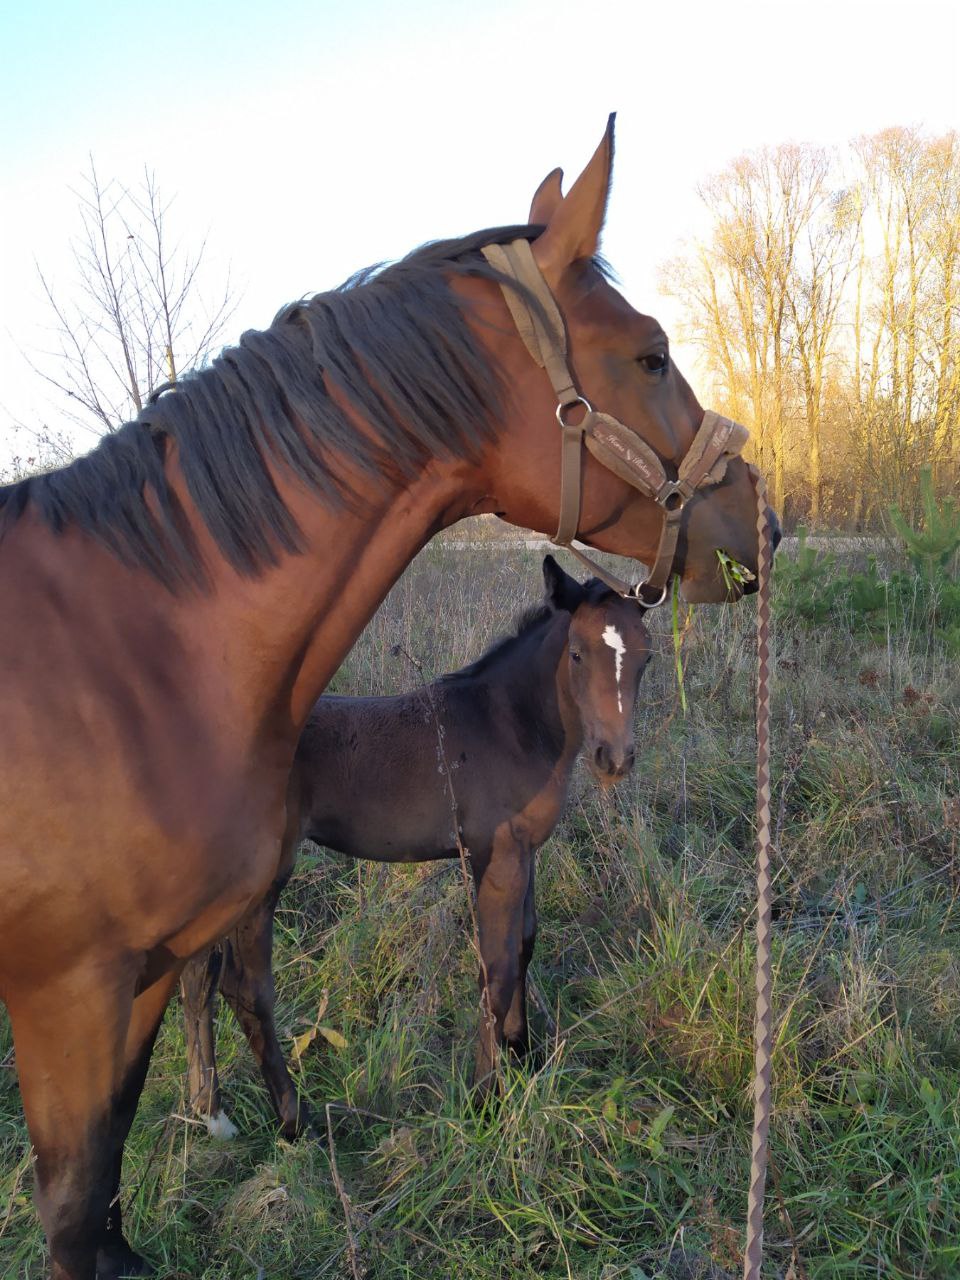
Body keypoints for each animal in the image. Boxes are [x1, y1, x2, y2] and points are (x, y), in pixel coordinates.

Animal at [180, 555, 655, 1136]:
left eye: (647, 657)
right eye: (578, 653)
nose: (615, 759)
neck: (509, 726)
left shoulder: (526, 853)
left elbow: (524, 944)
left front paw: (523, 1053)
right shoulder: (496, 856)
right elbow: (496, 968)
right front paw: (485, 1098)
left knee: (196, 979)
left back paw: (211, 1112)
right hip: (266, 879)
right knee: (244, 988)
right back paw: (295, 1122)